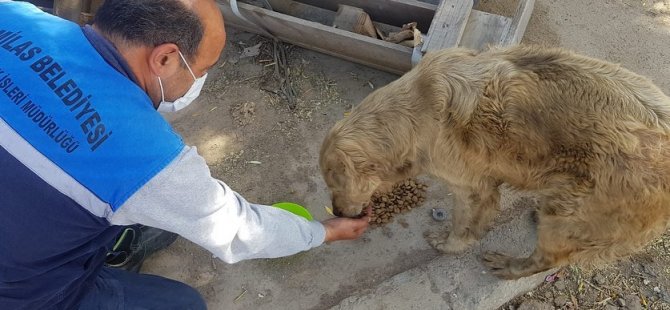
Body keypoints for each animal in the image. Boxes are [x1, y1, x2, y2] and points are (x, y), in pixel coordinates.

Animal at [318, 45, 670, 278]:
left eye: (334, 183)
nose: (338, 213)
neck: (416, 108)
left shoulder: (470, 185)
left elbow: (463, 222)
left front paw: (450, 244)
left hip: (572, 209)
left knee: (548, 260)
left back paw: (511, 265)